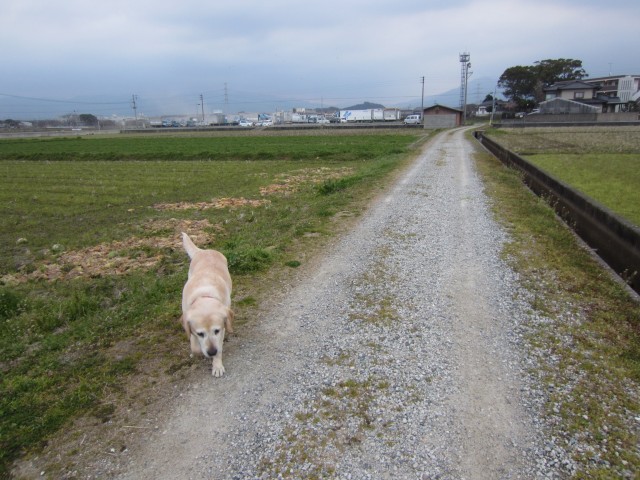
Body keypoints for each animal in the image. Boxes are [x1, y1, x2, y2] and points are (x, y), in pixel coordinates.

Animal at [180, 231, 232, 376]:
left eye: (216, 330)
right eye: (200, 333)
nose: (211, 352)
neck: (204, 295)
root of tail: (204, 251)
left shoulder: (223, 327)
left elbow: (219, 346)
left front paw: (217, 365)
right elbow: (195, 346)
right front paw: (198, 351)